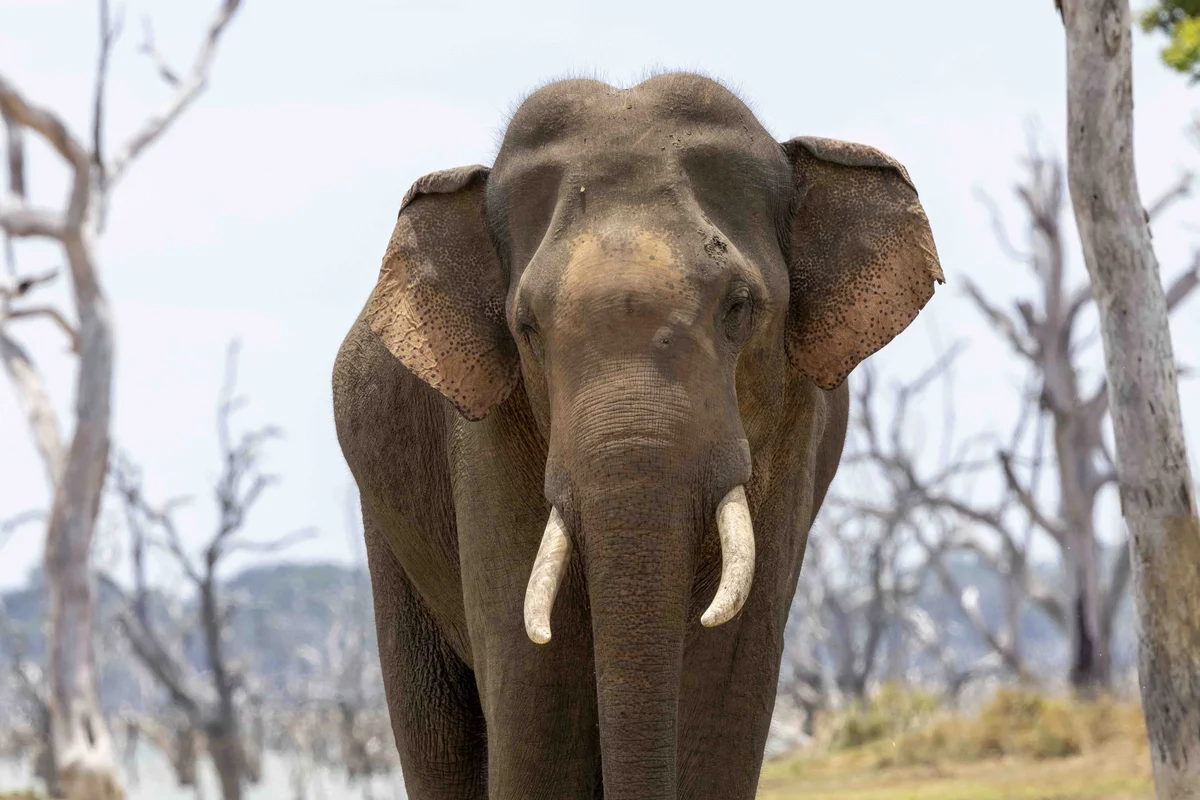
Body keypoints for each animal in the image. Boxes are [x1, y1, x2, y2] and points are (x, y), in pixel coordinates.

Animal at [332, 72, 943, 800]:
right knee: (435, 721)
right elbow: (538, 679)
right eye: (526, 327)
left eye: (739, 305)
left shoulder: (795, 430)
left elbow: (725, 670)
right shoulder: (486, 440)